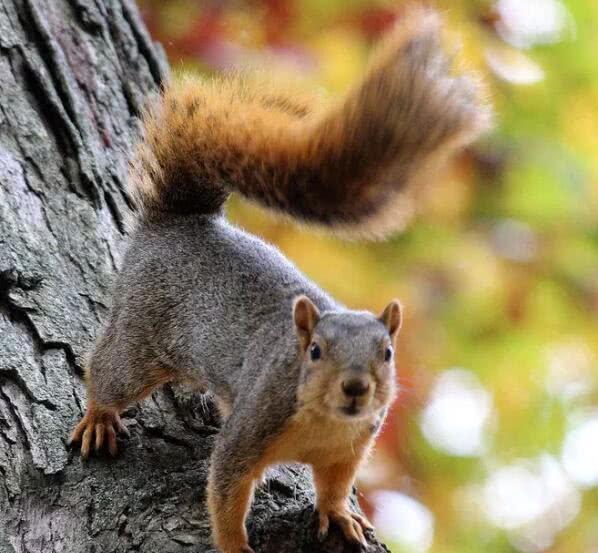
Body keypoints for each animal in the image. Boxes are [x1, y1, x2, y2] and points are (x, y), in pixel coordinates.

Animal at [70, 8, 492, 552]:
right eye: (313, 351)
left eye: (387, 353)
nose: (356, 388)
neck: (324, 424)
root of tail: (180, 221)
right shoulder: (250, 429)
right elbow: (226, 492)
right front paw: (234, 545)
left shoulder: (350, 448)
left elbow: (334, 486)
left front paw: (337, 515)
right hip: (142, 331)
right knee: (109, 369)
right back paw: (99, 417)